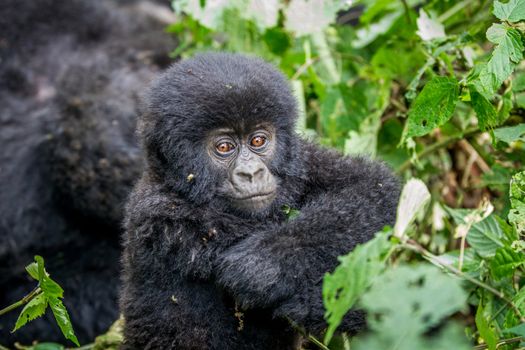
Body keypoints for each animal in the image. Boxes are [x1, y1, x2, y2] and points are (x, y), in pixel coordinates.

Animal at [119, 52, 398, 350]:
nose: (252, 173)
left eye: (258, 141)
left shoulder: (301, 159)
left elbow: (370, 184)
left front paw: (263, 264)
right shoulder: (166, 216)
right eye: (224, 147)